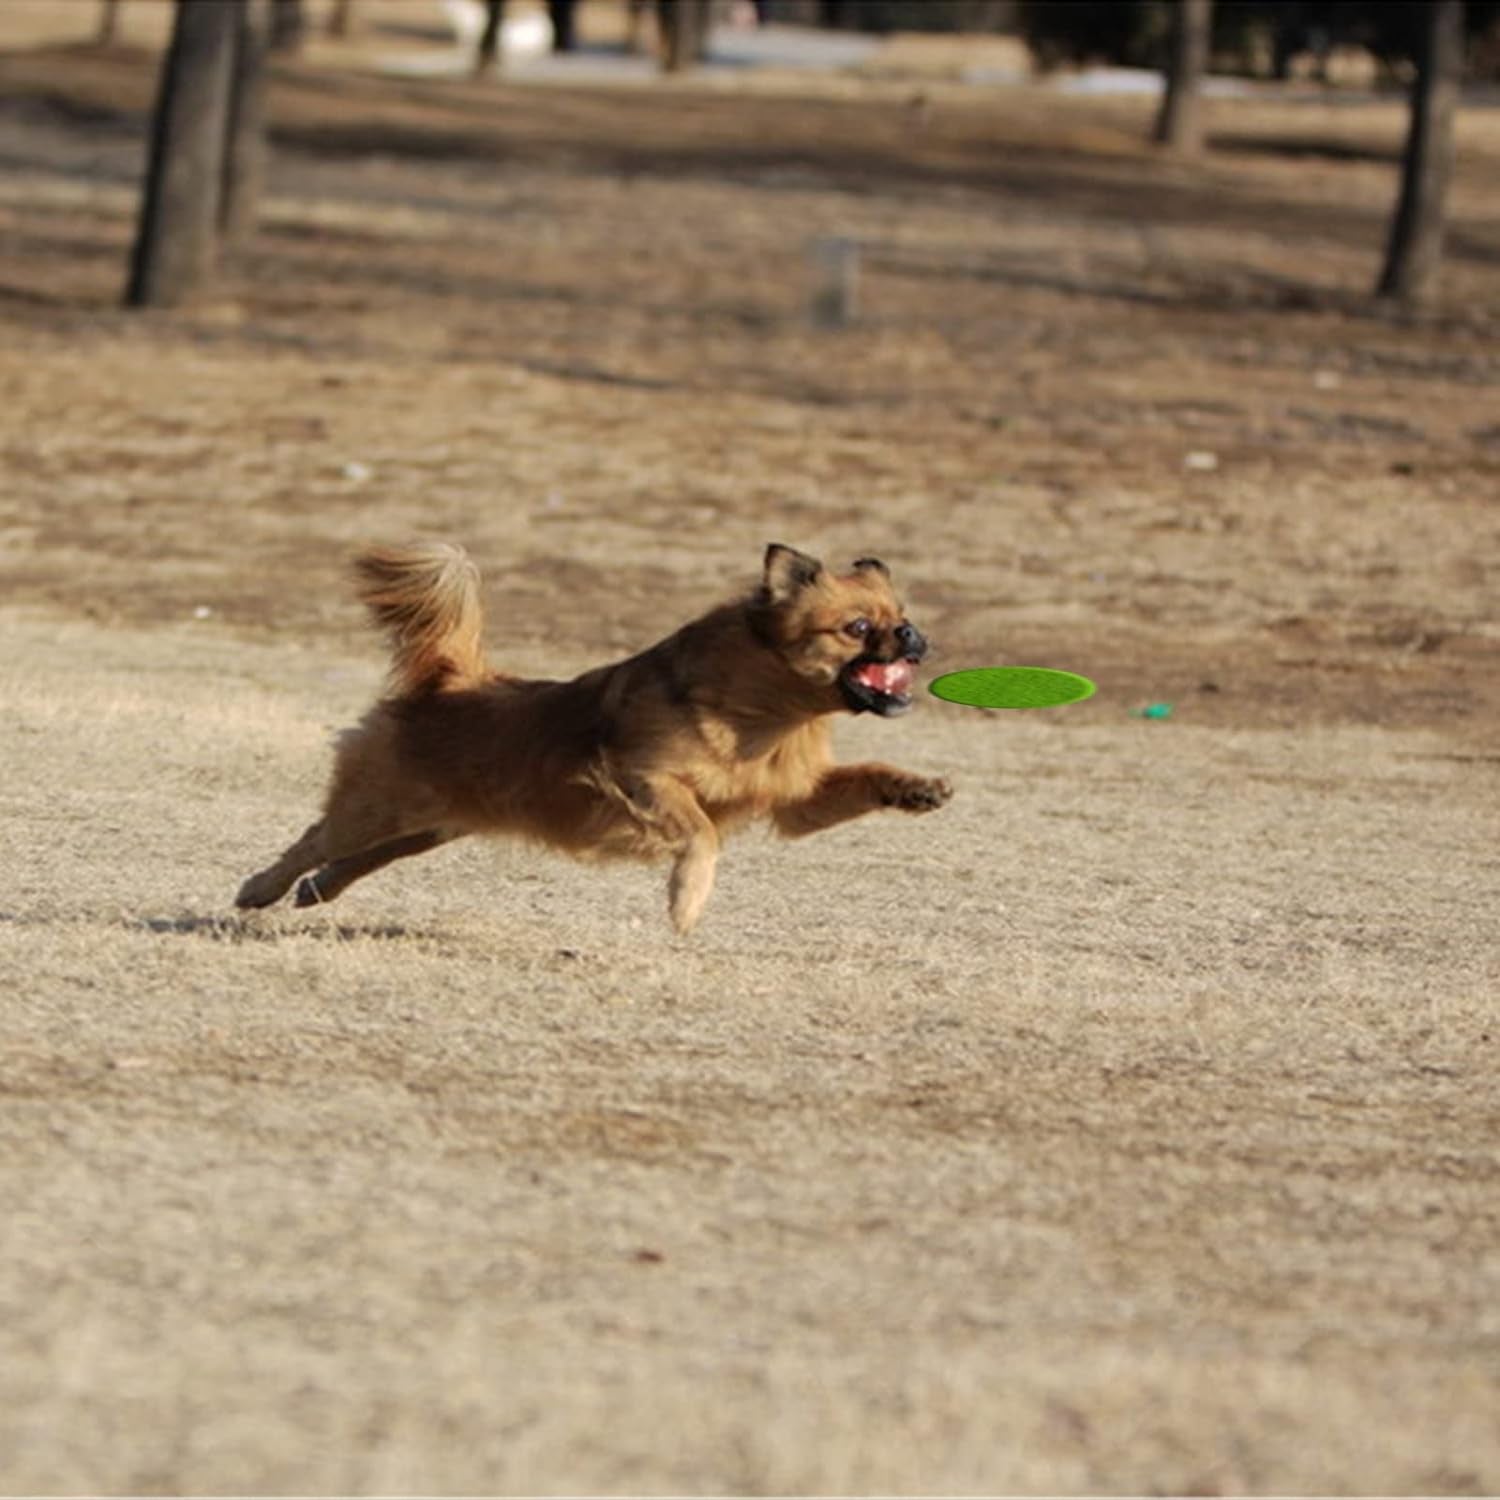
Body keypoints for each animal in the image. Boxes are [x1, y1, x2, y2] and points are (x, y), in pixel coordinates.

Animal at [240, 540, 954, 930]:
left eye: (903, 616)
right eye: (857, 629)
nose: (913, 636)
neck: (768, 716)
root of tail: (452, 679)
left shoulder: (793, 801)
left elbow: (864, 776)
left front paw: (918, 788)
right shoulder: (642, 777)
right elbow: (700, 834)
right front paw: (686, 902)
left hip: (426, 827)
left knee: (355, 859)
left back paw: (315, 893)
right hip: (380, 807)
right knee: (314, 839)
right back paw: (260, 889)